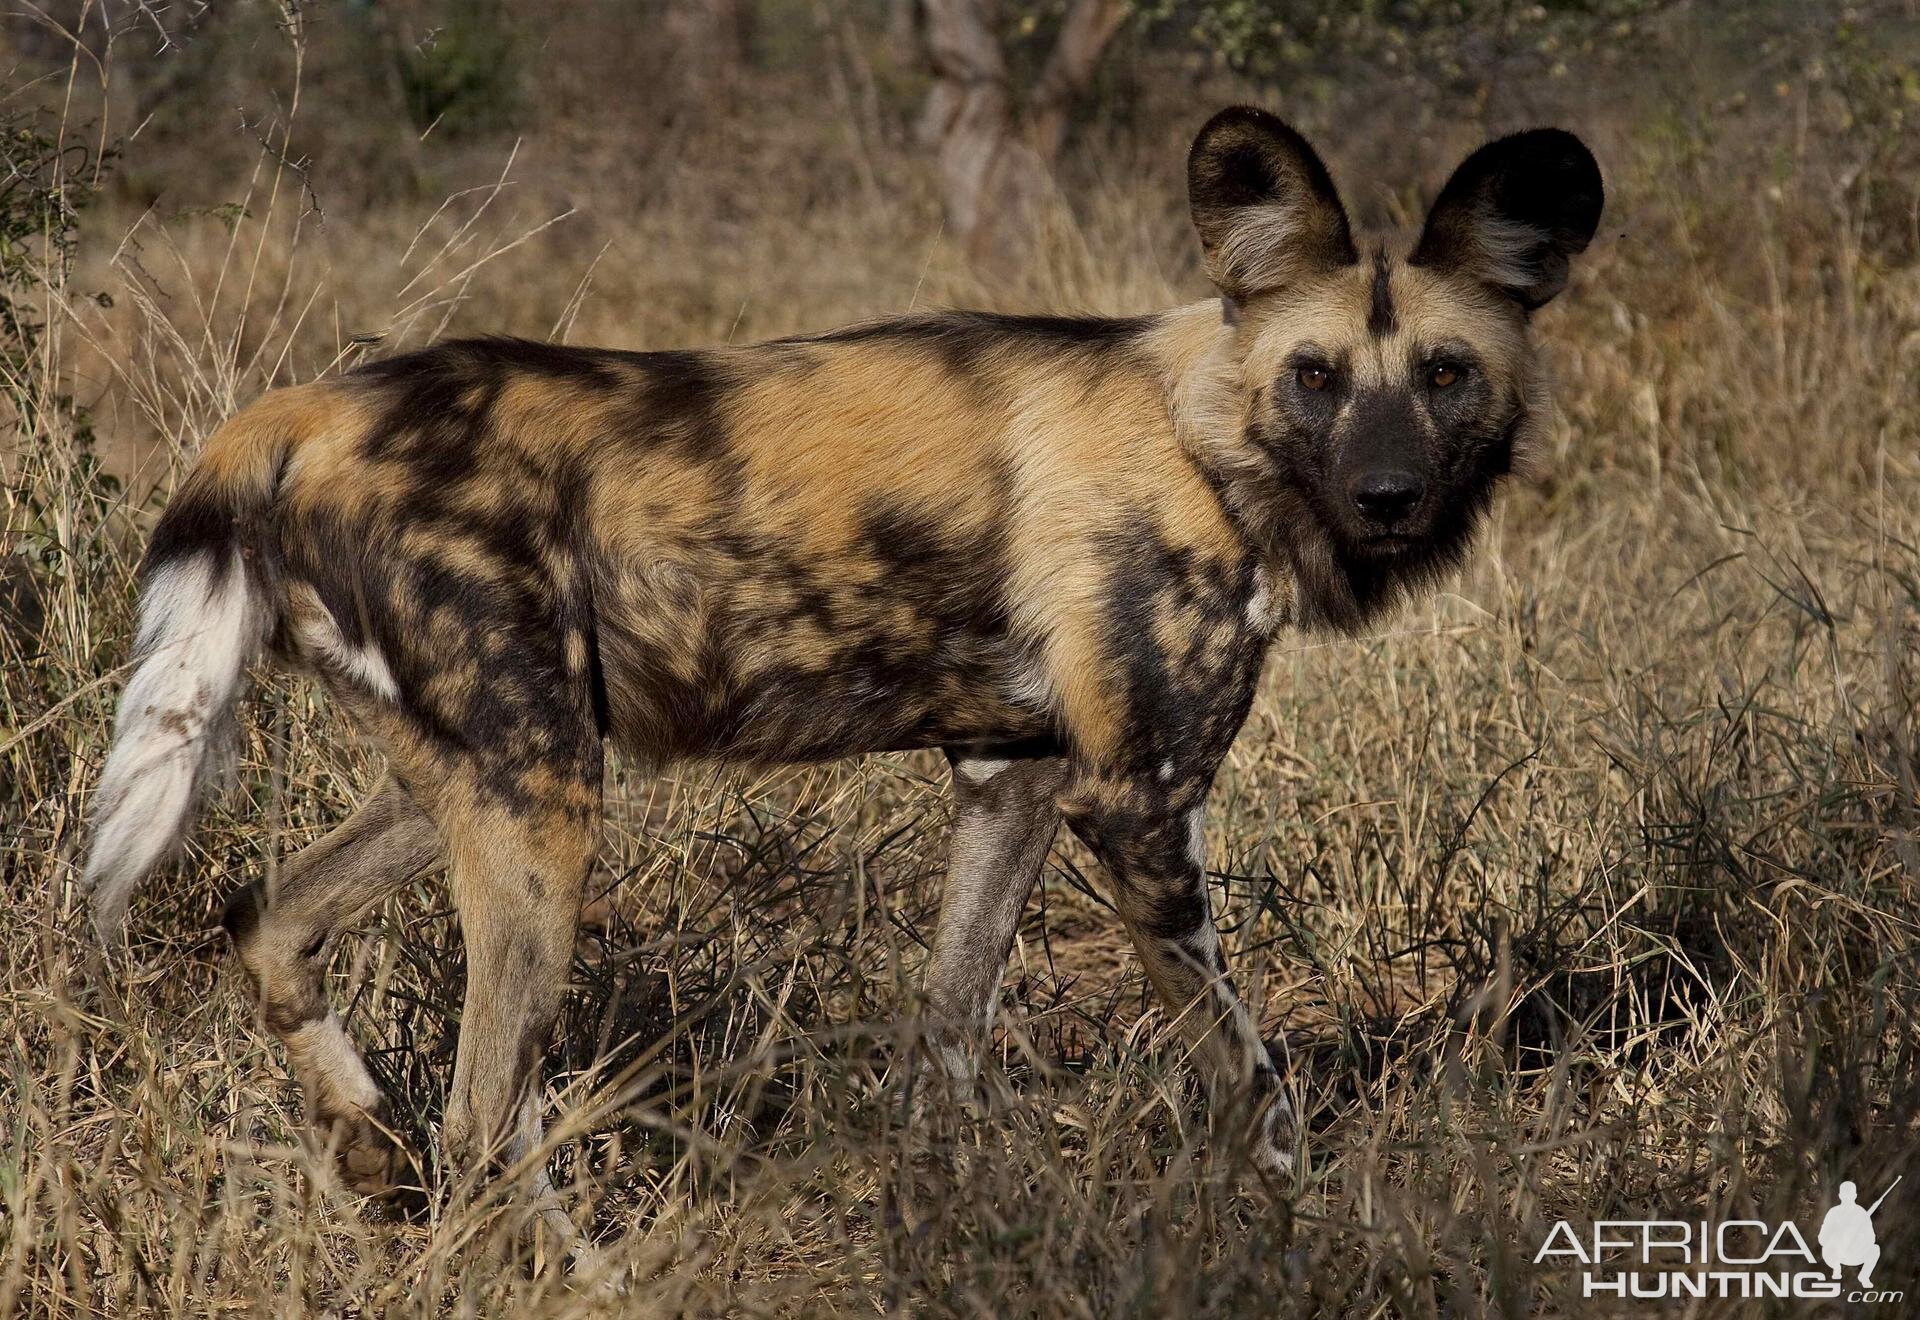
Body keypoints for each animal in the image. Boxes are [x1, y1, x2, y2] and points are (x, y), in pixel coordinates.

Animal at [82, 108, 1597, 1220]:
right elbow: (1253, 1076)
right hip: (543, 803)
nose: (1392, 496)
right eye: (1317, 377)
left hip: (482, 775)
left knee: (268, 923)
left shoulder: (1014, 779)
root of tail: (289, 413)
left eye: (1448, 374)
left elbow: (947, 1040)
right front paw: (1303, 1221)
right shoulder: (1136, 805)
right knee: (483, 1123)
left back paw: (361, 1148)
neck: (1203, 434)